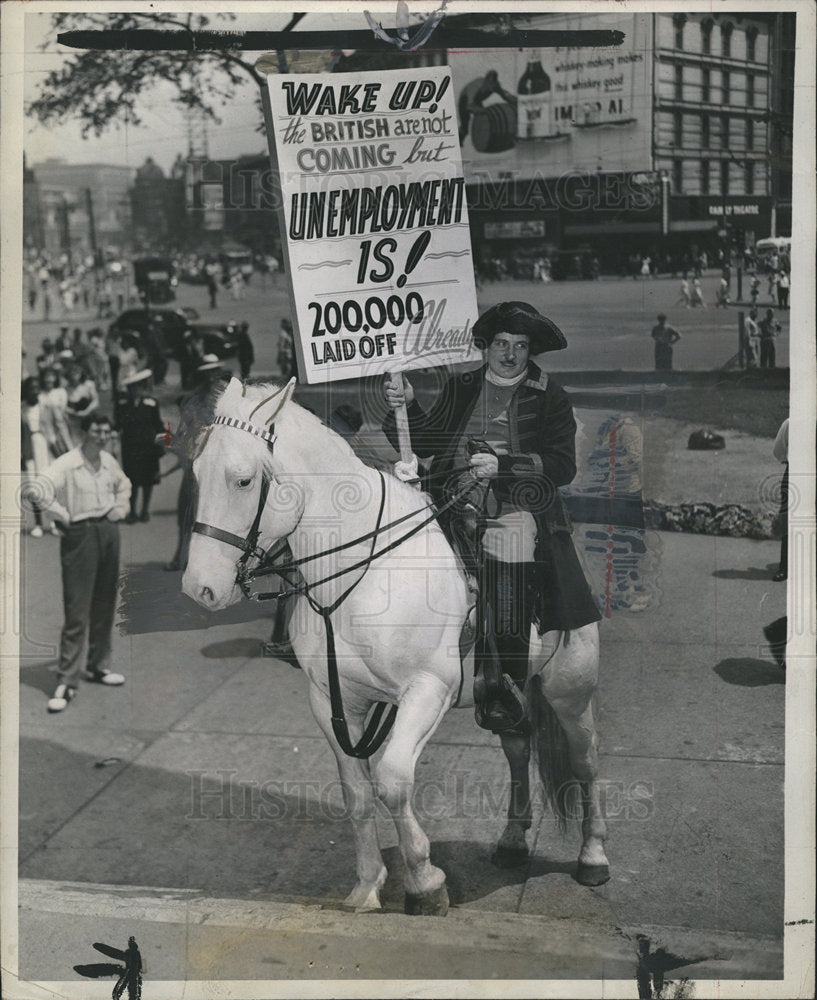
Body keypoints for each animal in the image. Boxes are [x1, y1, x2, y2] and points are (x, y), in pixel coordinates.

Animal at [183, 376, 604, 916]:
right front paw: (368, 884)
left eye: (242, 481)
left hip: (571, 685)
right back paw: (513, 840)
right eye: (196, 472)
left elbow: (393, 781)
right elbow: (358, 794)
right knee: (517, 745)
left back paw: (593, 856)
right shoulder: (333, 700)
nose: (200, 588)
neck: (360, 572)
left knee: (584, 758)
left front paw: (425, 881)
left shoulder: (428, 691)